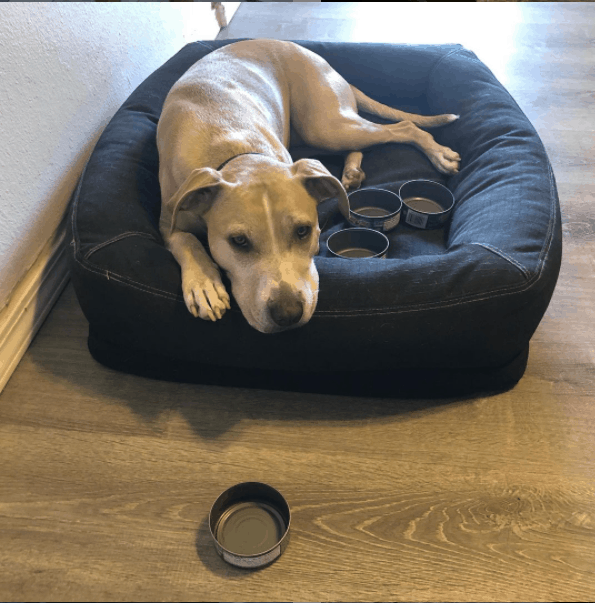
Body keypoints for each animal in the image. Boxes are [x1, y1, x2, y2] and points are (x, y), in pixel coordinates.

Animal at [155, 39, 460, 336]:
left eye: (303, 231)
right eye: (238, 241)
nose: (288, 313)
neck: (235, 151)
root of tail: (312, 54)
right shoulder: (168, 220)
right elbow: (187, 241)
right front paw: (204, 284)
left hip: (326, 126)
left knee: (403, 127)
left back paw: (439, 154)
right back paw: (351, 172)